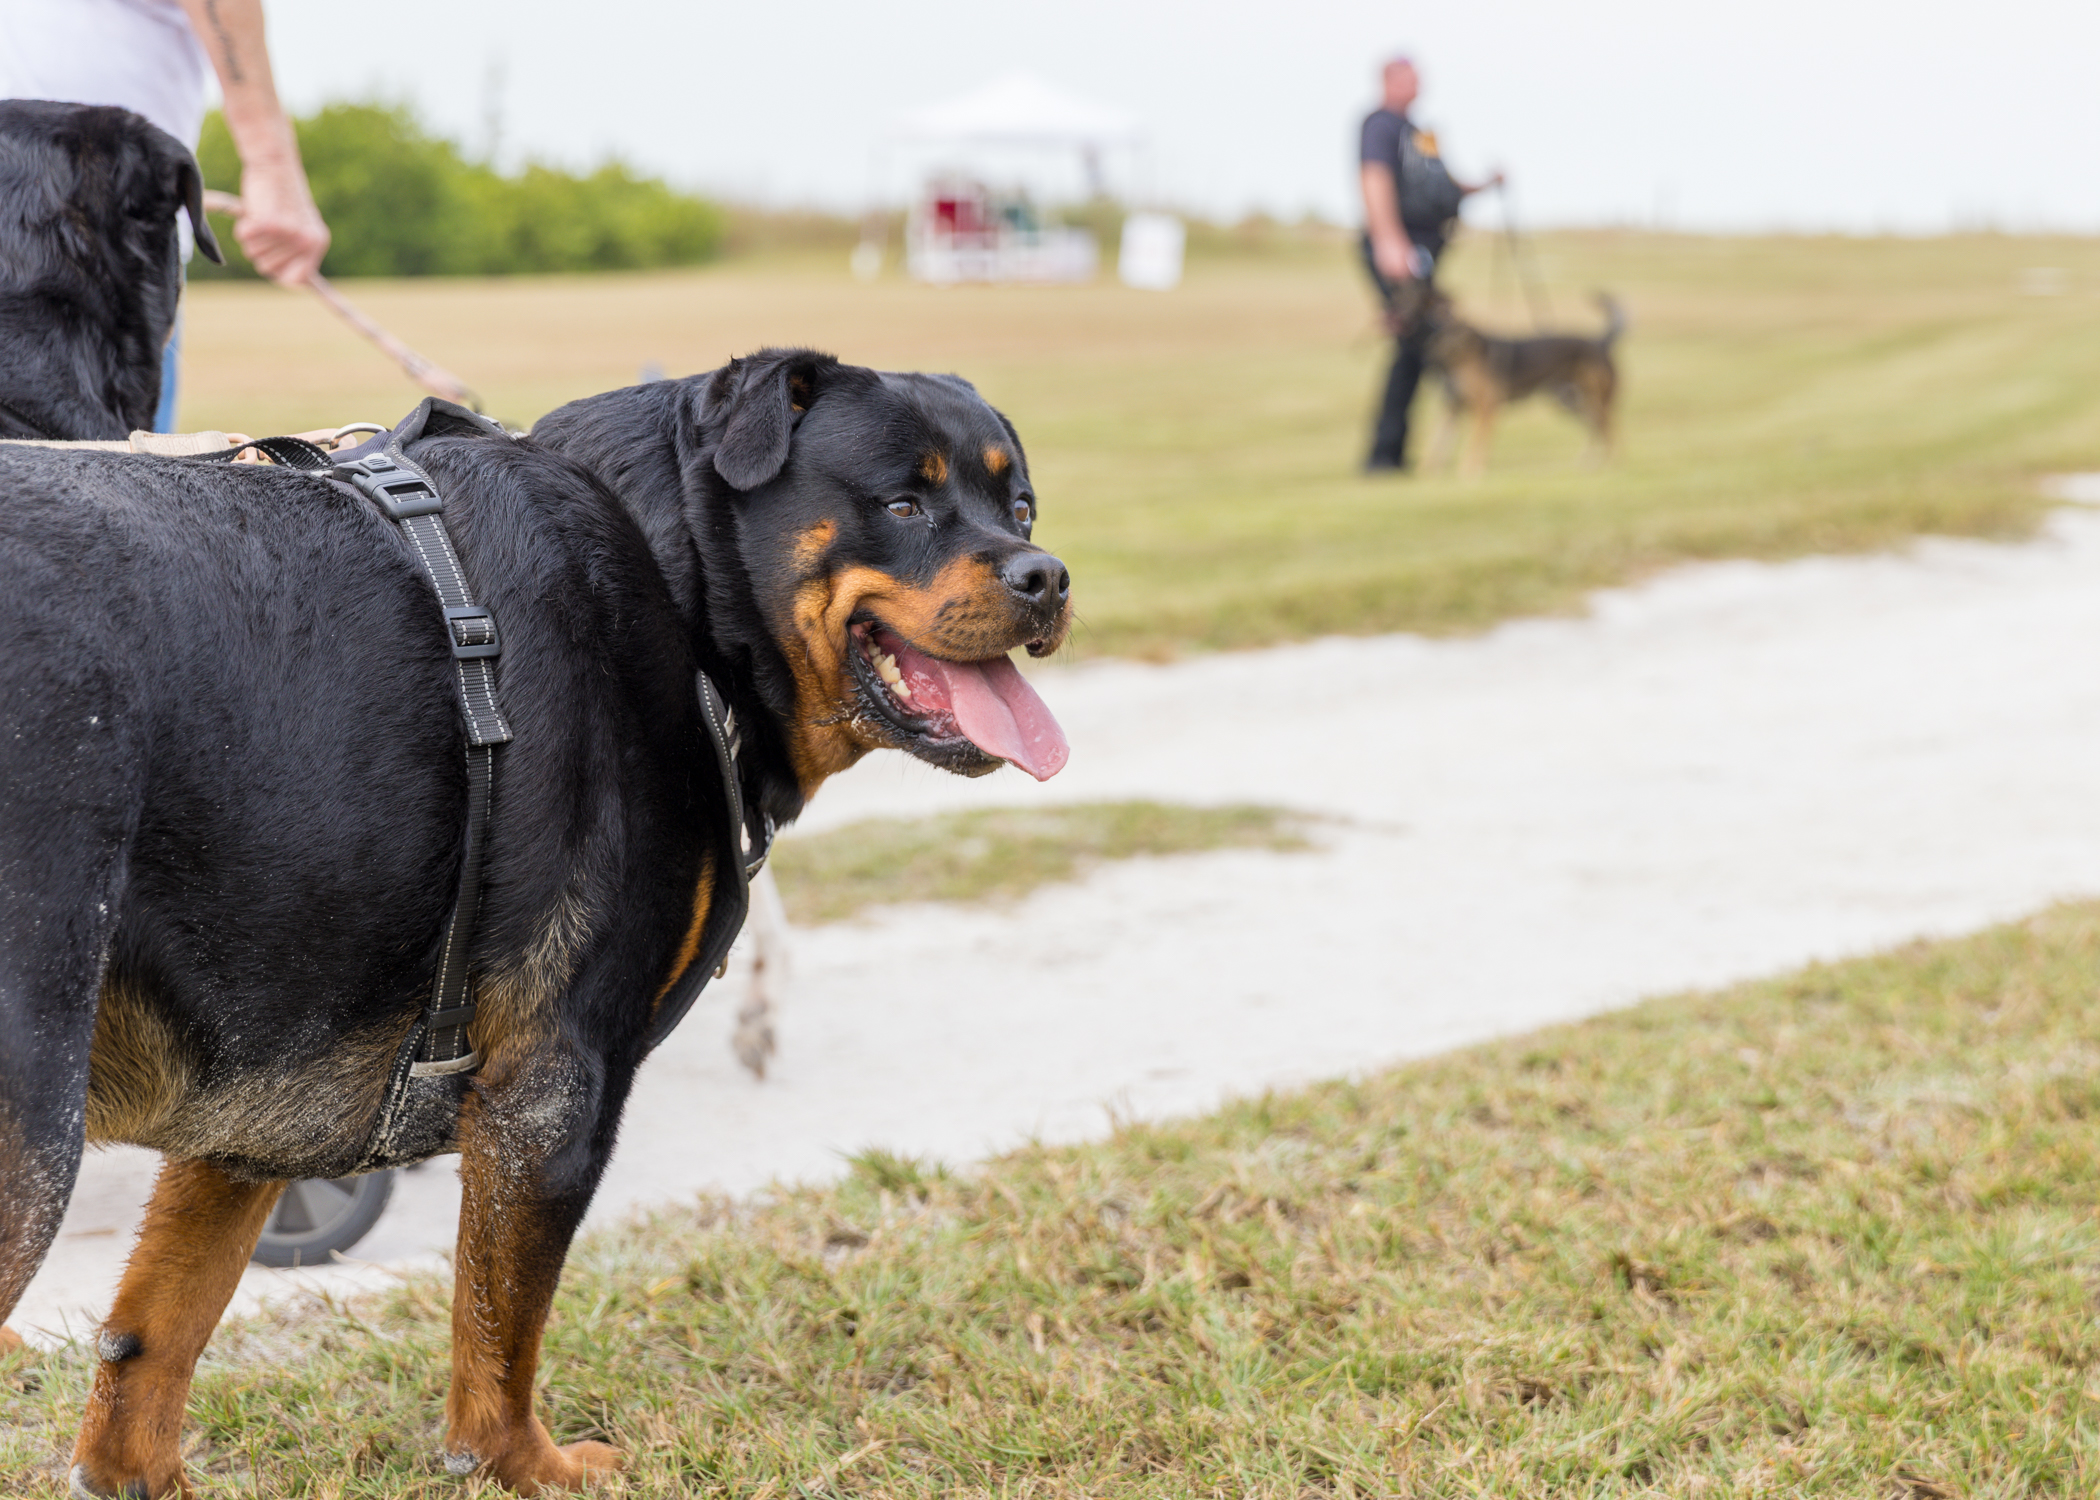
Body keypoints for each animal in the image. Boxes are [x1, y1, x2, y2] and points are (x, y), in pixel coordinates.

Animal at [0, 348, 1070, 1496]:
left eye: (1018, 506)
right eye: (904, 504)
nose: (1046, 575)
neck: (677, 585)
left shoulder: (259, 1092)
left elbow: (158, 1334)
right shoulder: (557, 1072)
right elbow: (501, 1324)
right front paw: (524, 1463)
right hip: (33, 1131)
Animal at [1393, 283, 1624, 478]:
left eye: (1411, 301)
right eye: (1397, 299)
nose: (1389, 313)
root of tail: (1601, 342)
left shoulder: (1485, 407)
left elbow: (1473, 443)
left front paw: (1470, 473)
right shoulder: (1451, 408)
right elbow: (1436, 444)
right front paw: (1426, 476)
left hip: (1593, 402)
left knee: (1611, 432)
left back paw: (1610, 467)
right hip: (1570, 404)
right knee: (1596, 430)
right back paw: (1590, 464)